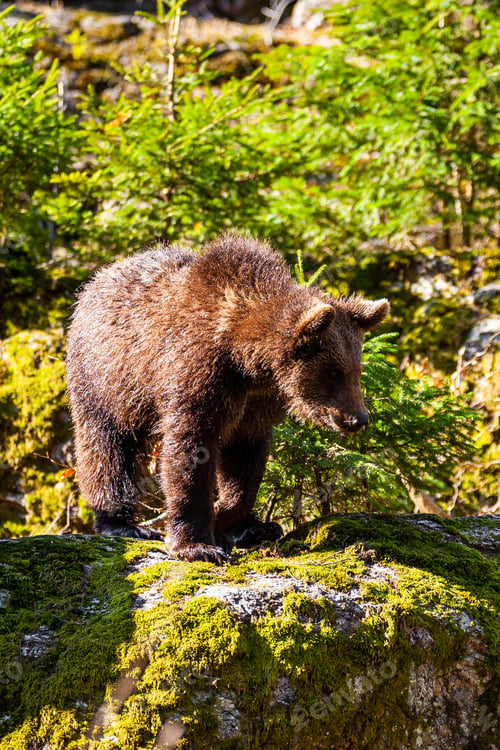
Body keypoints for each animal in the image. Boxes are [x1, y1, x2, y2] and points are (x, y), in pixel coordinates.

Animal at [66, 233, 389, 563]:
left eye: (356, 369)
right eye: (334, 372)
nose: (359, 419)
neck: (243, 360)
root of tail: (97, 279)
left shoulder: (256, 402)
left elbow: (245, 460)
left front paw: (232, 520)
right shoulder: (197, 374)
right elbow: (190, 450)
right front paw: (197, 544)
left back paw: (259, 527)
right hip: (108, 378)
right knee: (106, 445)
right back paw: (123, 523)